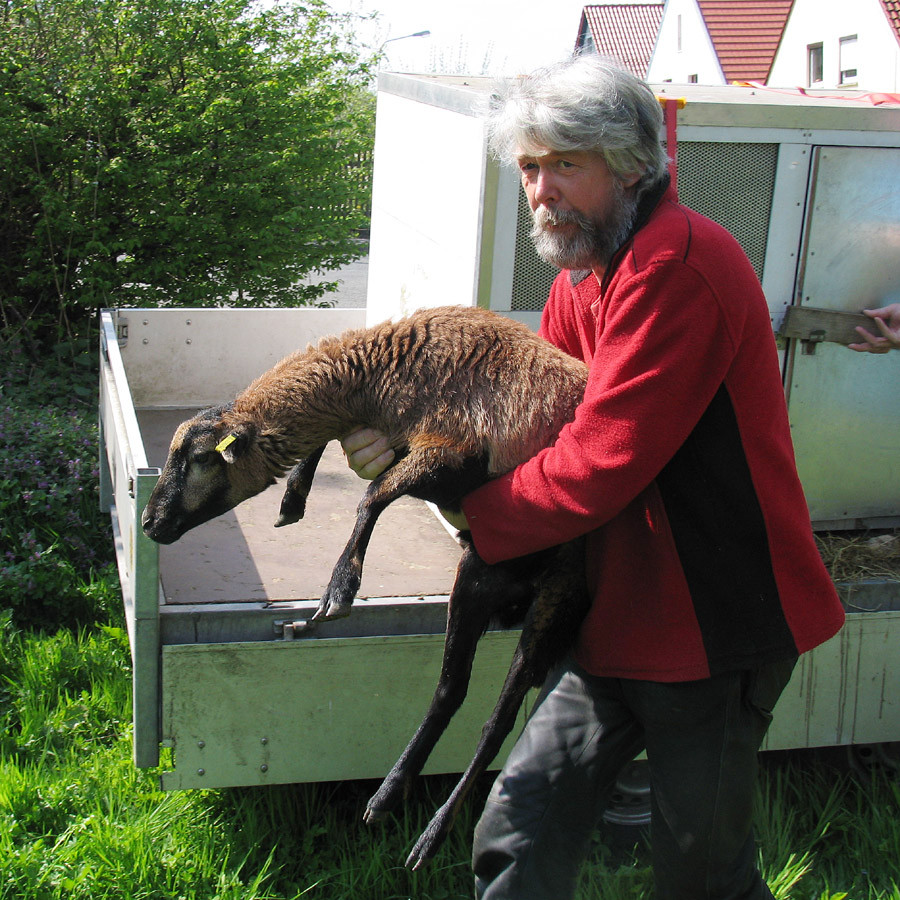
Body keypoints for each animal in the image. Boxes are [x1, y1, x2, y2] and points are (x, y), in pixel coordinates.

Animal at [141, 306, 592, 868]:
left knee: (499, 724)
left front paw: (340, 587)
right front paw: (293, 499)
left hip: (562, 593)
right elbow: (335, 453)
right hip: (476, 579)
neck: (383, 374)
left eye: (201, 458)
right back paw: (388, 796)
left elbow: (372, 496)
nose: (149, 524)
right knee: (450, 691)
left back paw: (430, 833)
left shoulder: (455, 446)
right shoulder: (392, 439)